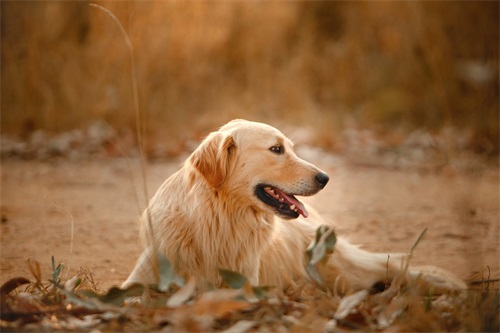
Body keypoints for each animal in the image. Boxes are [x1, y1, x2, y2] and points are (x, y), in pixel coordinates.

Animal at [123, 119, 466, 294]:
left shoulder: (243, 286)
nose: (325, 178)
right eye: (276, 149)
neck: (218, 219)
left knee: (393, 265)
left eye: (289, 147)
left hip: (339, 267)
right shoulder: (142, 277)